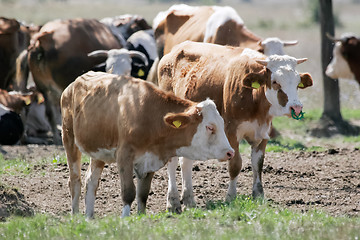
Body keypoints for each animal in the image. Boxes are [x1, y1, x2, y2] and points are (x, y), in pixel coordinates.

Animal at [61, 71, 236, 218]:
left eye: (222, 124)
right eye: (210, 127)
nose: (230, 152)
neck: (150, 116)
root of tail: (73, 84)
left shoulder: (151, 159)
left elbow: (143, 194)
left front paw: (141, 216)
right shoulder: (124, 155)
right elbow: (129, 192)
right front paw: (125, 218)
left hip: (98, 152)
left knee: (91, 181)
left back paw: (89, 217)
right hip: (68, 138)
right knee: (75, 181)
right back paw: (75, 216)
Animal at [158, 40, 312, 212]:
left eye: (298, 83)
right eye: (275, 82)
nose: (296, 107)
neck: (255, 100)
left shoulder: (263, 133)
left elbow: (258, 164)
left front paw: (258, 195)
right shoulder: (231, 132)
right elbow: (235, 164)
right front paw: (230, 197)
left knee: (186, 161)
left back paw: (189, 199)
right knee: (172, 161)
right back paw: (173, 202)